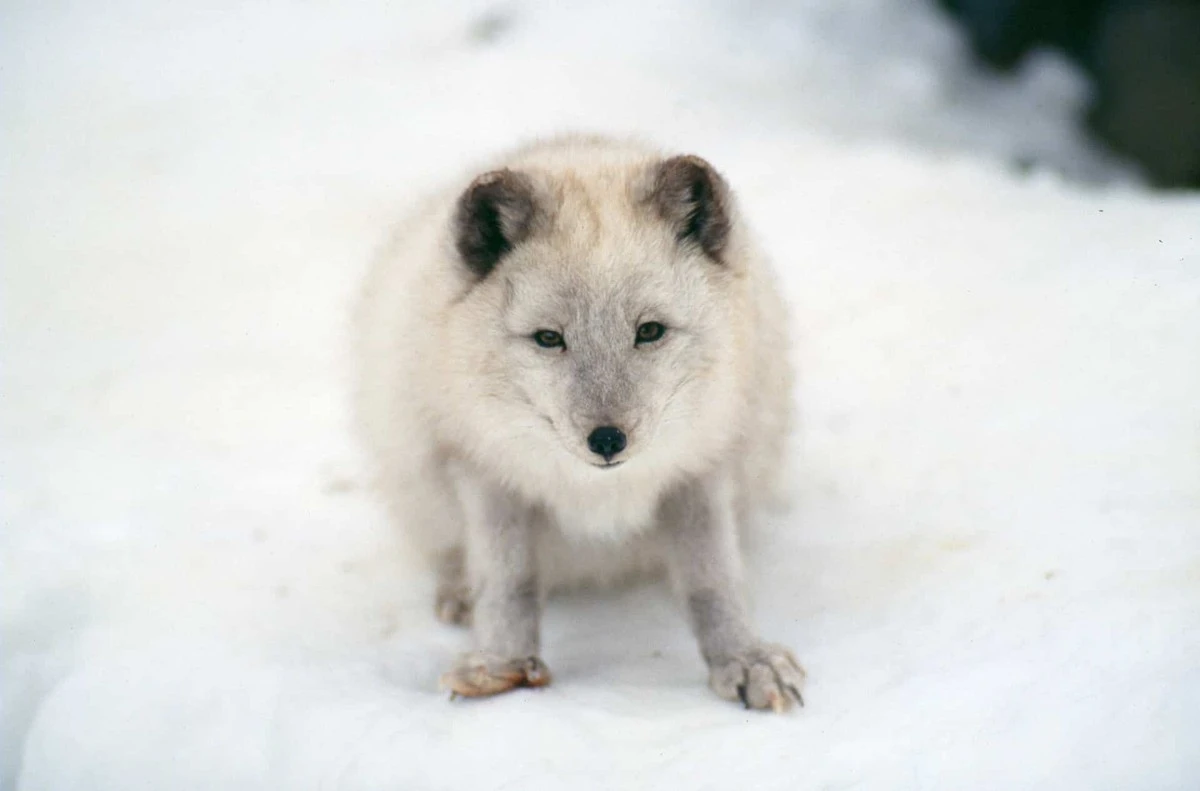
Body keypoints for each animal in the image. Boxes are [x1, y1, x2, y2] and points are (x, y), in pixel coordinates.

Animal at [354, 135, 803, 712]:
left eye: (649, 331)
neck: (596, 492)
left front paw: (745, 660)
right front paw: (499, 664)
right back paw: (459, 591)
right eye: (549, 338)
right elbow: (508, 582)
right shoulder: (485, 472)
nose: (608, 440)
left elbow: (713, 582)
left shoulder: (700, 471)